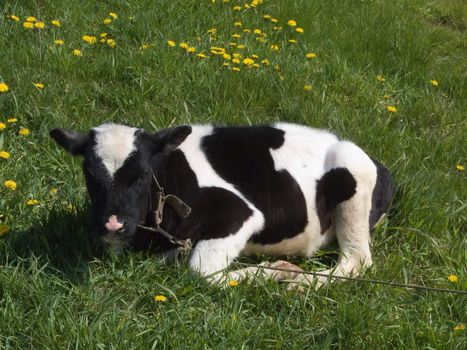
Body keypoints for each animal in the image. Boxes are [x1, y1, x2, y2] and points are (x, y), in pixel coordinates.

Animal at [51, 122, 394, 288]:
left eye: (142, 174)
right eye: (89, 173)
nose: (113, 223)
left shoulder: (241, 213)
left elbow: (201, 272)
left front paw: (278, 271)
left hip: (351, 175)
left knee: (356, 261)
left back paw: (301, 283)